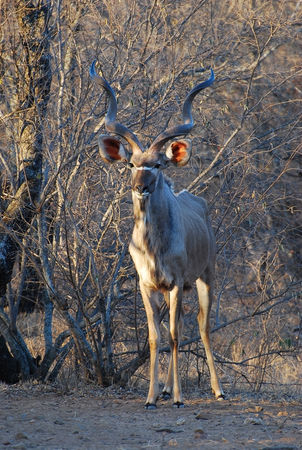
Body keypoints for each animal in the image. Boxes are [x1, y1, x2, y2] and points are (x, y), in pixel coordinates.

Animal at [89, 59, 224, 408]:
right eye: (131, 164)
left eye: (159, 165)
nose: (140, 187)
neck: (154, 246)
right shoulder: (147, 285)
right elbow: (154, 337)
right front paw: (151, 396)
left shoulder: (176, 283)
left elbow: (175, 336)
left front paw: (178, 398)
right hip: (171, 291)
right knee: (176, 326)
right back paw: (163, 390)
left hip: (206, 277)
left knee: (201, 326)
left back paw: (217, 390)